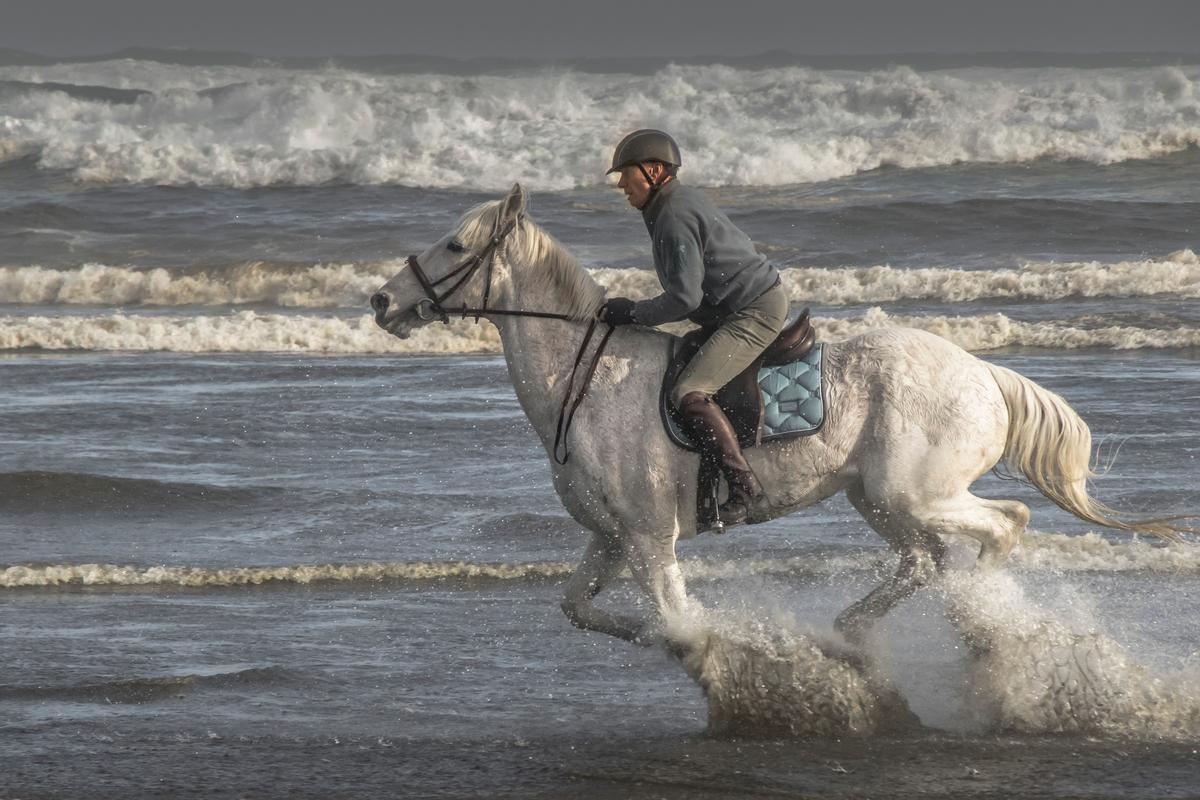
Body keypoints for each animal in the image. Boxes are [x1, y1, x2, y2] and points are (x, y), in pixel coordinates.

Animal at [369, 184, 1185, 647]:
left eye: (455, 244)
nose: (381, 300)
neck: (587, 378)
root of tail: (984, 372)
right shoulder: (609, 538)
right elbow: (580, 608)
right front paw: (657, 635)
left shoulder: (649, 539)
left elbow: (675, 613)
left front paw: (698, 642)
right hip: (877, 499)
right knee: (925, 559)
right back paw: (857, 630)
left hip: (913, 491)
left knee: (1005, 523)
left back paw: (984, 618)